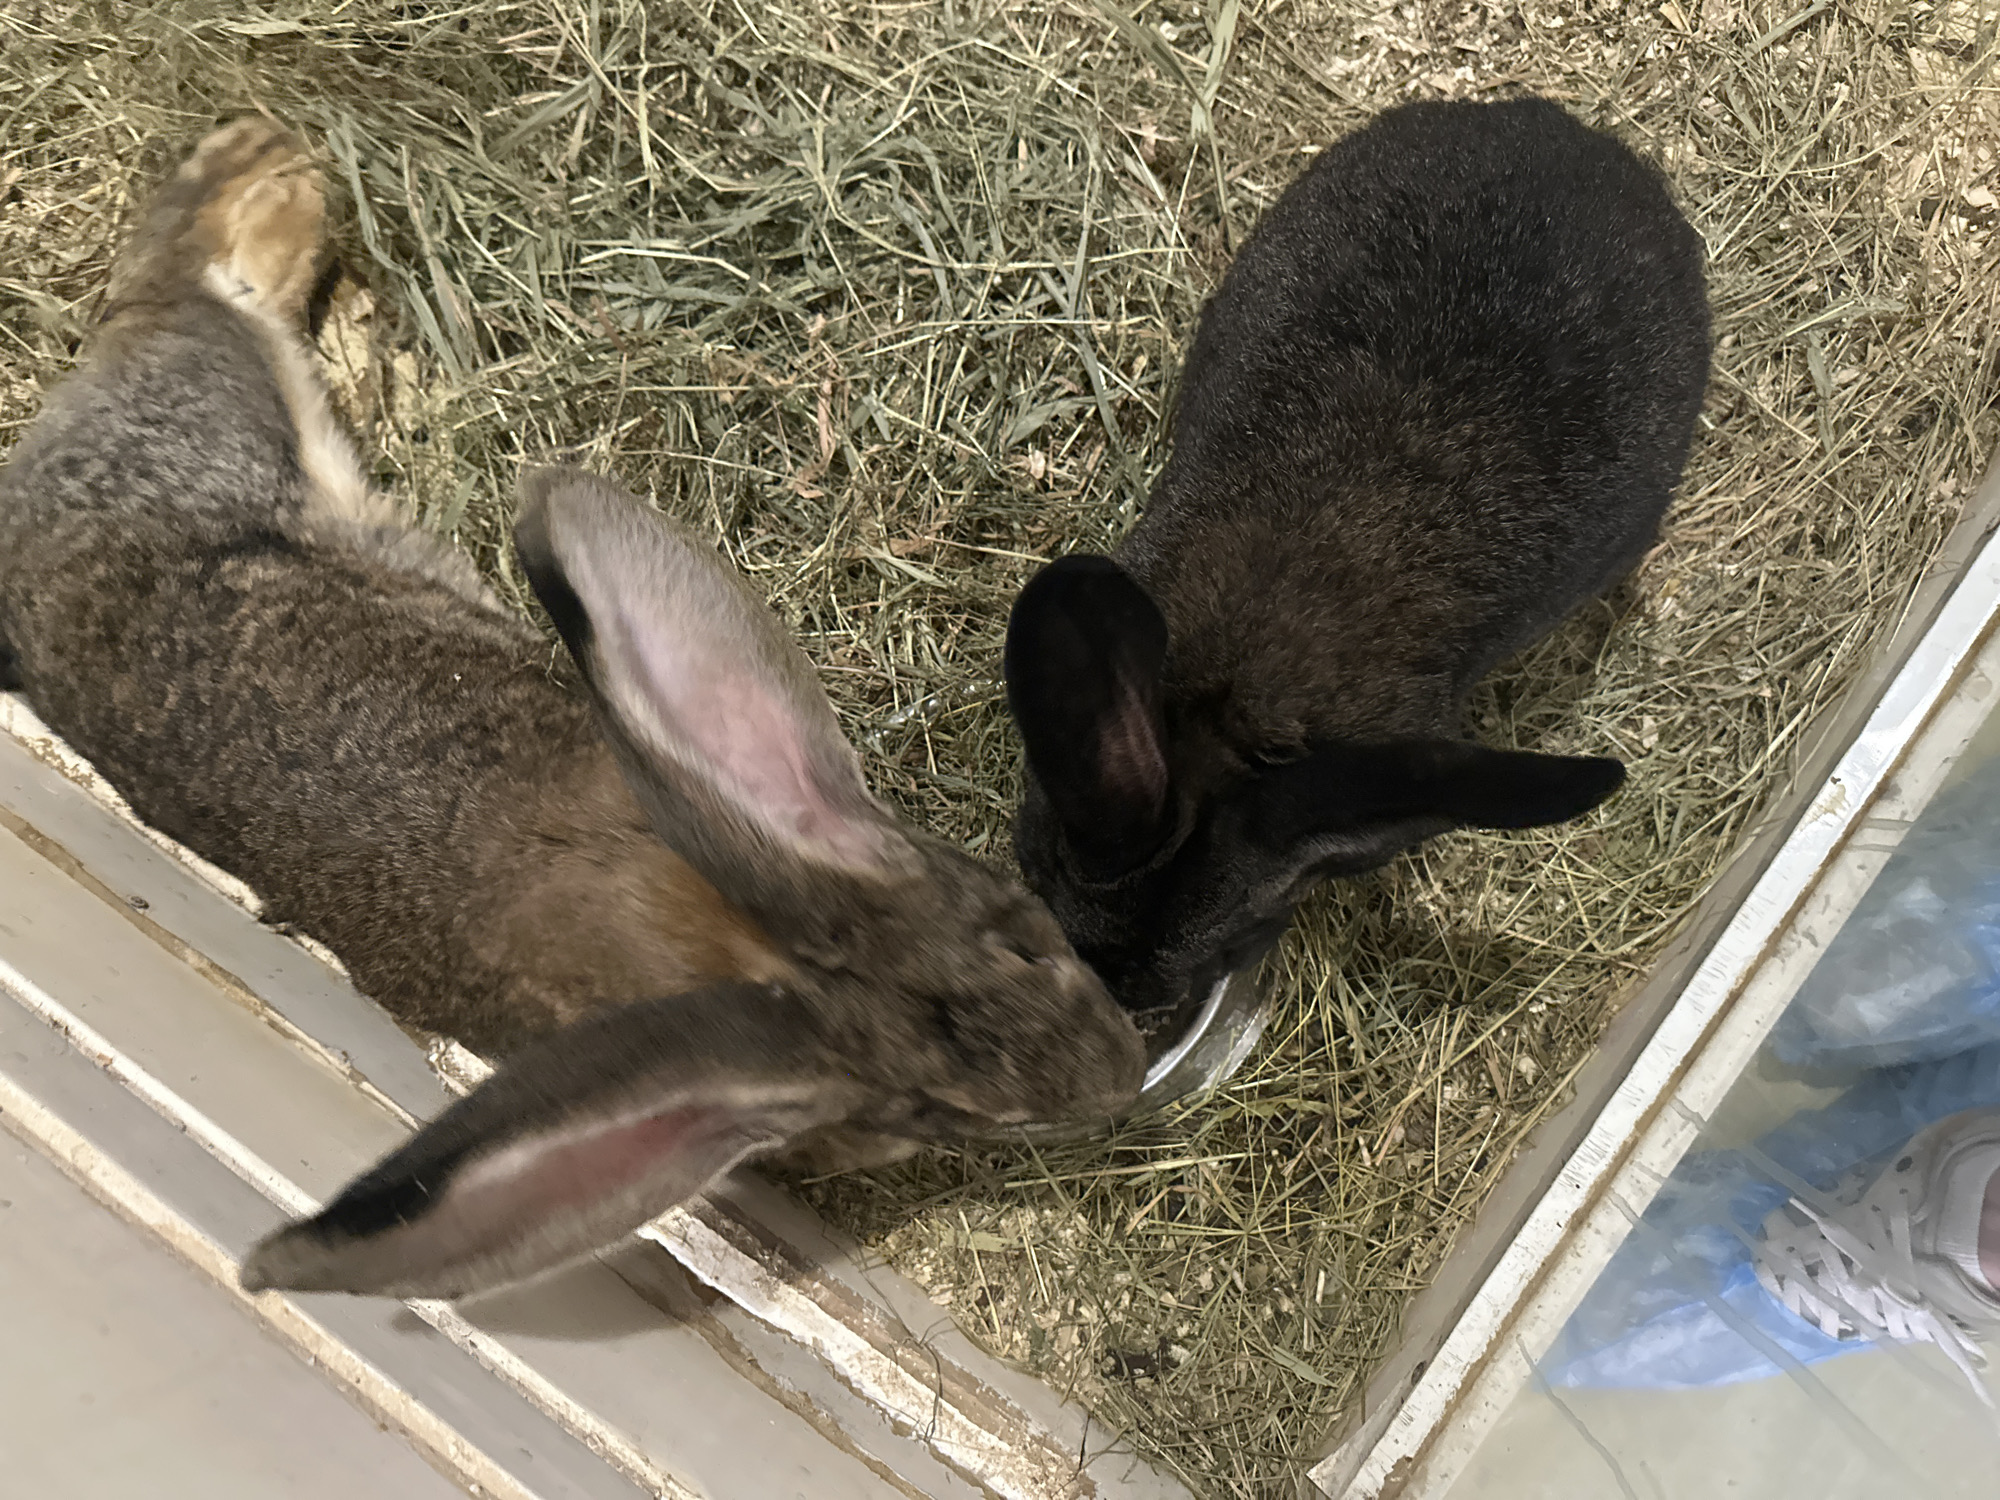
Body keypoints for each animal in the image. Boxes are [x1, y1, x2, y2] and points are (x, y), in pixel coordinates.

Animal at [0, 118, 1144, 1300]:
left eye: (1023, 946)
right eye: (958, 1115)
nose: (1125, 1073)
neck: (744, 951)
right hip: (234, 405)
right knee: (193, 289)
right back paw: (275, 178)